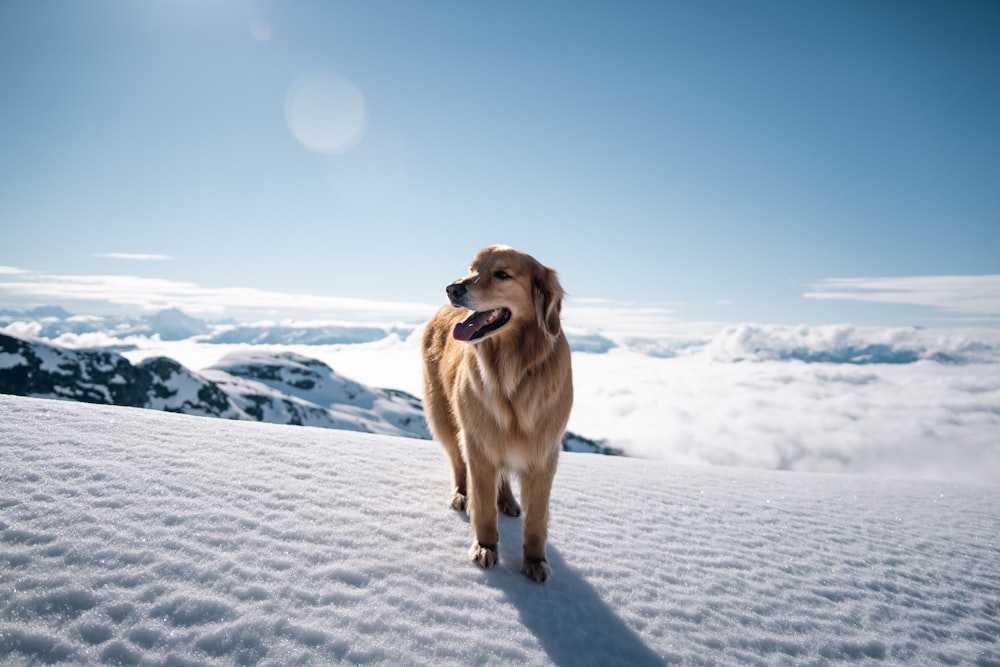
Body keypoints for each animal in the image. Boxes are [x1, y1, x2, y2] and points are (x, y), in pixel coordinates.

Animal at [420, 247, 572, 584]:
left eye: (502, 274)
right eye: (472, 269)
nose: (451, 289)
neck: (512, 371)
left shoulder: (543, 452)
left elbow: (537, 517)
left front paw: (536, 561)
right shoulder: (478, 442)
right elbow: (484, 506)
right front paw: (485, 547)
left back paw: (508, 501)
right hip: (446, 418)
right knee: (458, 464)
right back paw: (461, 495)